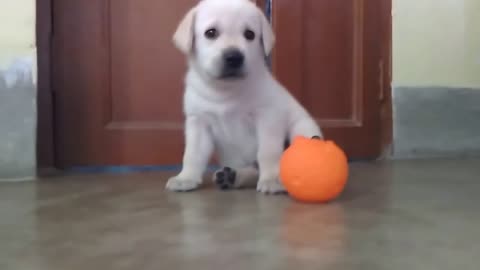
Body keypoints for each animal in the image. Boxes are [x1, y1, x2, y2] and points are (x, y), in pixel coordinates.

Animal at [166, 0, 322, 194]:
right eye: (211, 33)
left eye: (250, 34)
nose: (234, 57)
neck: (226, 90)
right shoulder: (198, 122)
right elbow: (192, 154)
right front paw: (185, 178)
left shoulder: (267, 117)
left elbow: (268, 152)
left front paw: (271, 179)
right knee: (252, 170)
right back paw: (232, 176)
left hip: (303, 128)